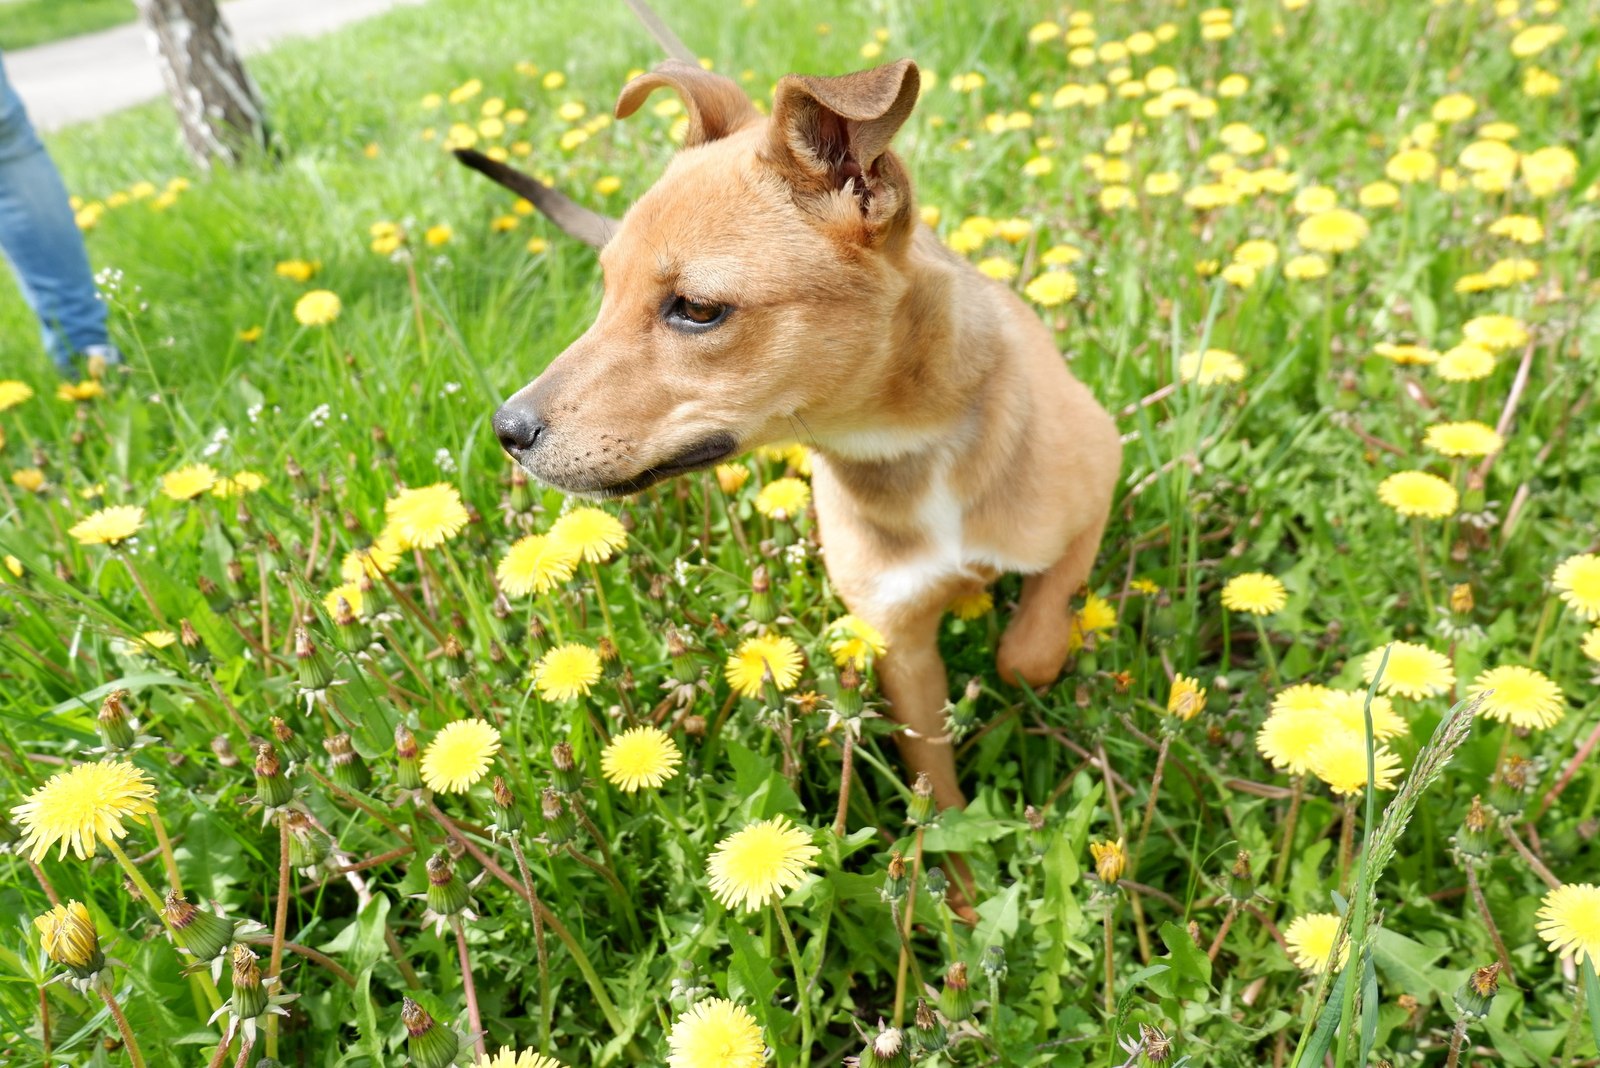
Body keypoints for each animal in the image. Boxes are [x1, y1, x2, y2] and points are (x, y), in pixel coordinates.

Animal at [480, 58, 1120, 808]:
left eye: (697, 308)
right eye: (606, 289)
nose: (507, 429)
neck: (918, 448)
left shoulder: (1099, 483)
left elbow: (1029, 649)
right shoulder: (900, 646)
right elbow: (935, 791)